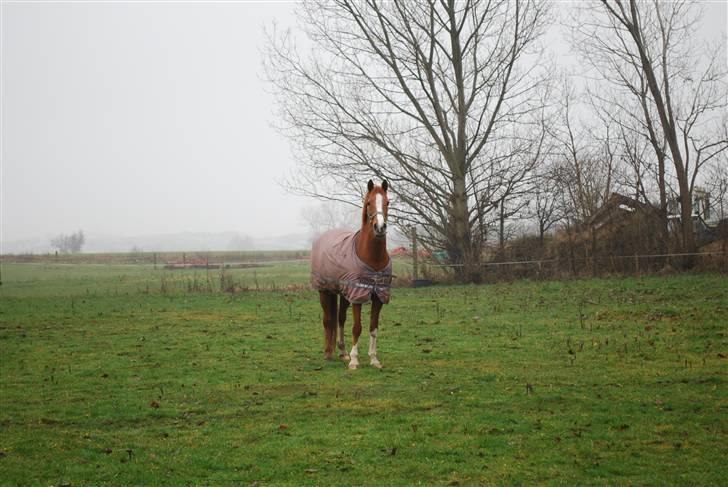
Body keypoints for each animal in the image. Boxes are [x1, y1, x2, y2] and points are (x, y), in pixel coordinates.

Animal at [308, 179, 390, 370]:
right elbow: (357, 327)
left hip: (344, 294)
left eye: (387, 202)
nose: (380, 227)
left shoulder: (378, 296)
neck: (372, 258)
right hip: (324, 291)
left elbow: (373, 327)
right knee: (327, 320)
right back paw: (328, 353)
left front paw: (374, 359)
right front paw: (354, 361)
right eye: (369, 203)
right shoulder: (357, 295)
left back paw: (342, 352)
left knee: (340, 319)